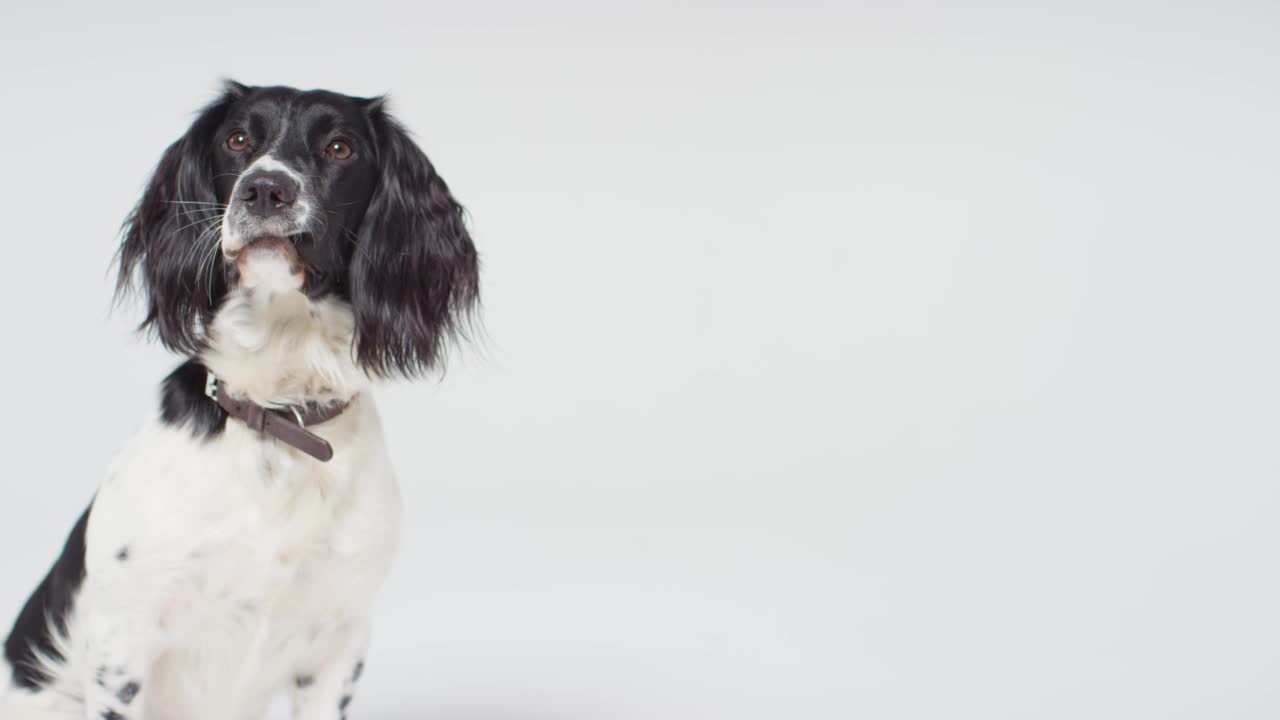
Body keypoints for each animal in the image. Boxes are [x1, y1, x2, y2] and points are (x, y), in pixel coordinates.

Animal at [0, 79, 481, 717]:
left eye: (340, 147)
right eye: (236, 140)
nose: (265, 188)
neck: (278, 416)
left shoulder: (337, 640)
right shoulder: (122, 641)